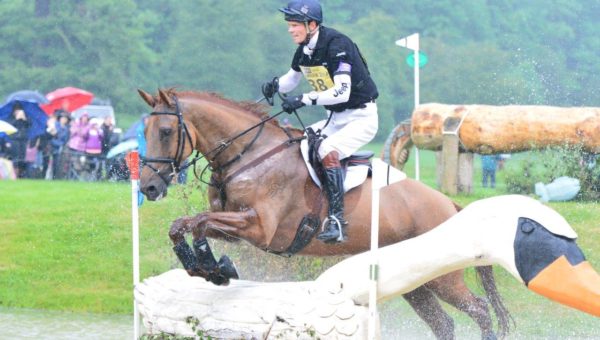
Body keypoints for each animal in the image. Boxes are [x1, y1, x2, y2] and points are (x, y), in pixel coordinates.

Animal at [137, 88, 510, 340]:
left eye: (166, 132)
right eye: (145, 133)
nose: (149, 188)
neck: (249, 155)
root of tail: (450, 205)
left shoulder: (259, 229)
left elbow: (199, 223)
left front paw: (215, 267)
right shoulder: (233, 227)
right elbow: (183, 225)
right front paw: (203, 266)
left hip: (444, 279)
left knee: (479, 309)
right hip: (415, 282)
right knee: (443, 323)